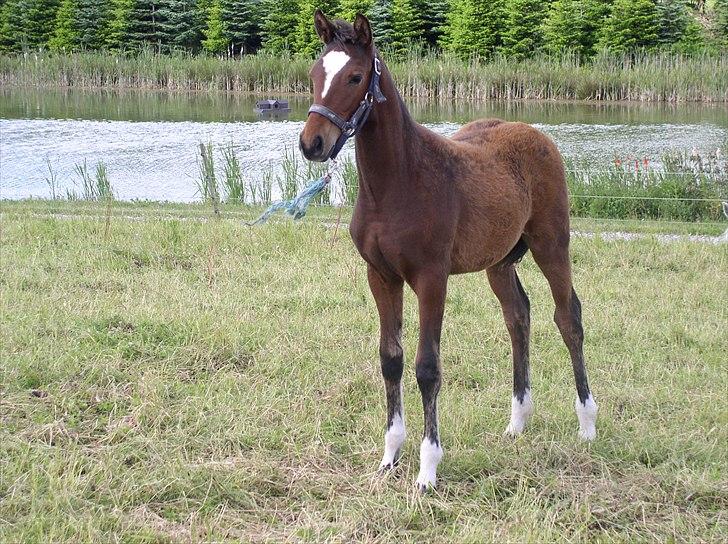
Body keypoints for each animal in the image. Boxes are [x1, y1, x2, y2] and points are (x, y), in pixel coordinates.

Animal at [298, 10, 596, 490]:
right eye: (314, 75)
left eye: (356, 77)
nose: (312, 144)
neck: (397, 184)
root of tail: (535, 133)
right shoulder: (381, 275)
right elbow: (391, 360)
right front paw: (389, 456)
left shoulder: (431, 278)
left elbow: (427, 367)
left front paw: (427, 469)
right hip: (499, 262)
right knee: (518, 316)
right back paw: (517, 421)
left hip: (552, 243)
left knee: (568, 317)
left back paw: (587, 423)